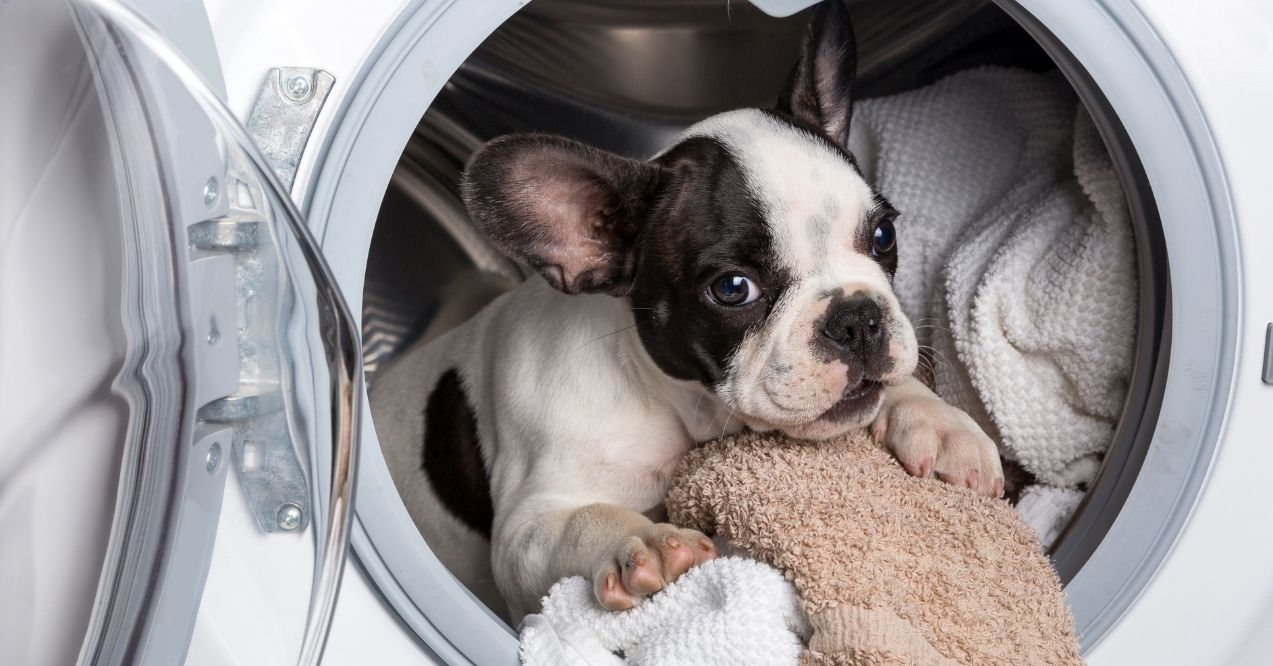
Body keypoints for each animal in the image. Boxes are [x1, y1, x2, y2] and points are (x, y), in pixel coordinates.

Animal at [369, 1, 1003, 626]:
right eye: (733, 289)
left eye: (883, 234)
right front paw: (642, 544)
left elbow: (894, 388)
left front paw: (942, 424)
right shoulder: (527, 530)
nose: (855, 319)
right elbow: (581, 520)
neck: (670, 403)